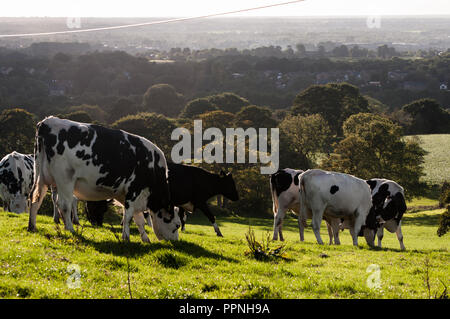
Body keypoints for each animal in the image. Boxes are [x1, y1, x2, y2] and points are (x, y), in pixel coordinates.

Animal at [27, 117, 179, 242]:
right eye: (177, 225)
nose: (175, 241)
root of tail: (47, 121)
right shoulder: (134, 191)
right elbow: (128, 216)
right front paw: (126, 238)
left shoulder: (128, 195)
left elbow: (139, 219)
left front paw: (145, 239)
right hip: (64, 178)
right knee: (64, 204)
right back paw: (70, 229)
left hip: (41, 175)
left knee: (35, 198)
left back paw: (32, 226)